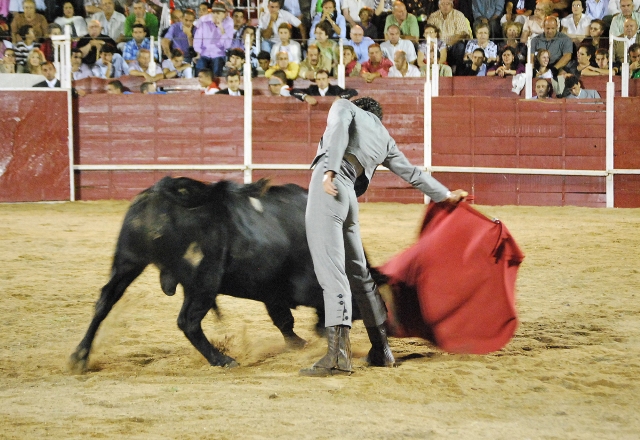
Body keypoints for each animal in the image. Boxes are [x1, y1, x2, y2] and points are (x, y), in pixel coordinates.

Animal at [69, 177, 364, 370]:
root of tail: (162, 193)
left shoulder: (271, 290)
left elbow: (284, 320)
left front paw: (299, 343)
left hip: (128, 262)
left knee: (104, 302)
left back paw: (79, 357)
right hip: (204, 279)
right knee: (187, 321)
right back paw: (223, 360)